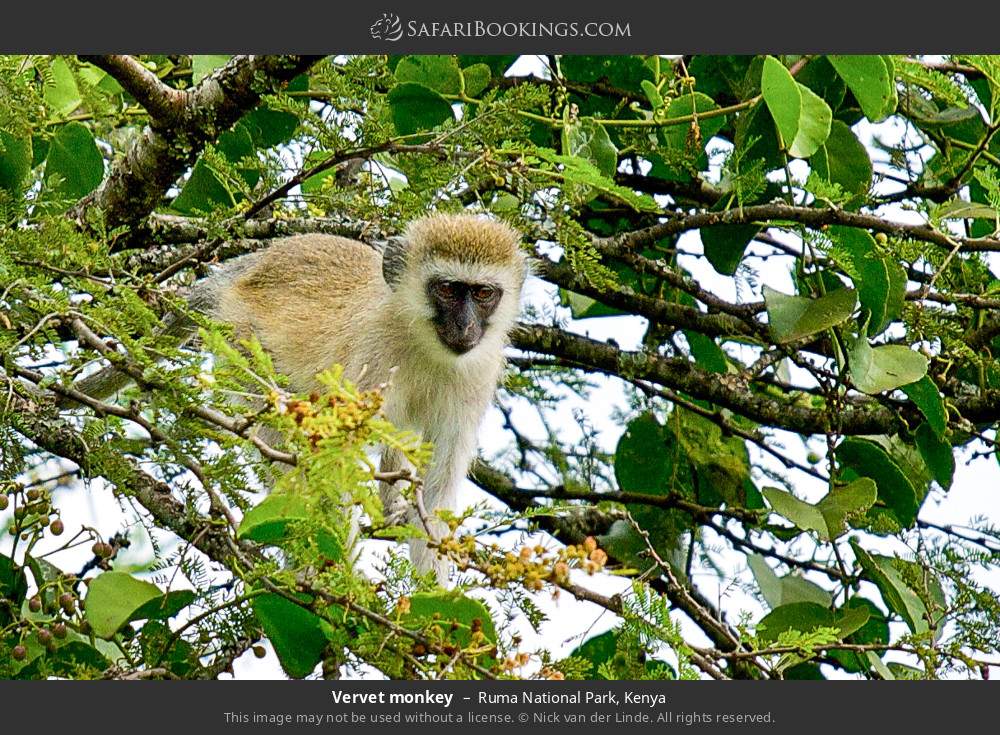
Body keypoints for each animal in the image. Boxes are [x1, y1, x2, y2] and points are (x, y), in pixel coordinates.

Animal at [73, 213, 528, 580]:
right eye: (448, 290)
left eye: (483, 294)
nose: (466, 327)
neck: (424, 345)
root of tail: (251, 265)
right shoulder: (371, 361)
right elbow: (335, 461)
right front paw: (344, 585)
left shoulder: (475, 379)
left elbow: (435, 496)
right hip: (243, 344)